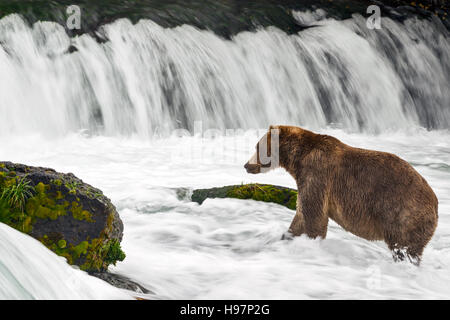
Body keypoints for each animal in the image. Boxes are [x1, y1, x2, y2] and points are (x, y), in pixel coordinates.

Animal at [244, 125, 438, 264]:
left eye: (258, 146)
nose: (246, 165)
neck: (298, 158)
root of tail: (435, 203)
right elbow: (300, 216)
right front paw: (286, 237)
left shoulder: (317, 175)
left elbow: (314, 217)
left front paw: (309, 244)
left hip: (403, 214)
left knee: (403, 248)